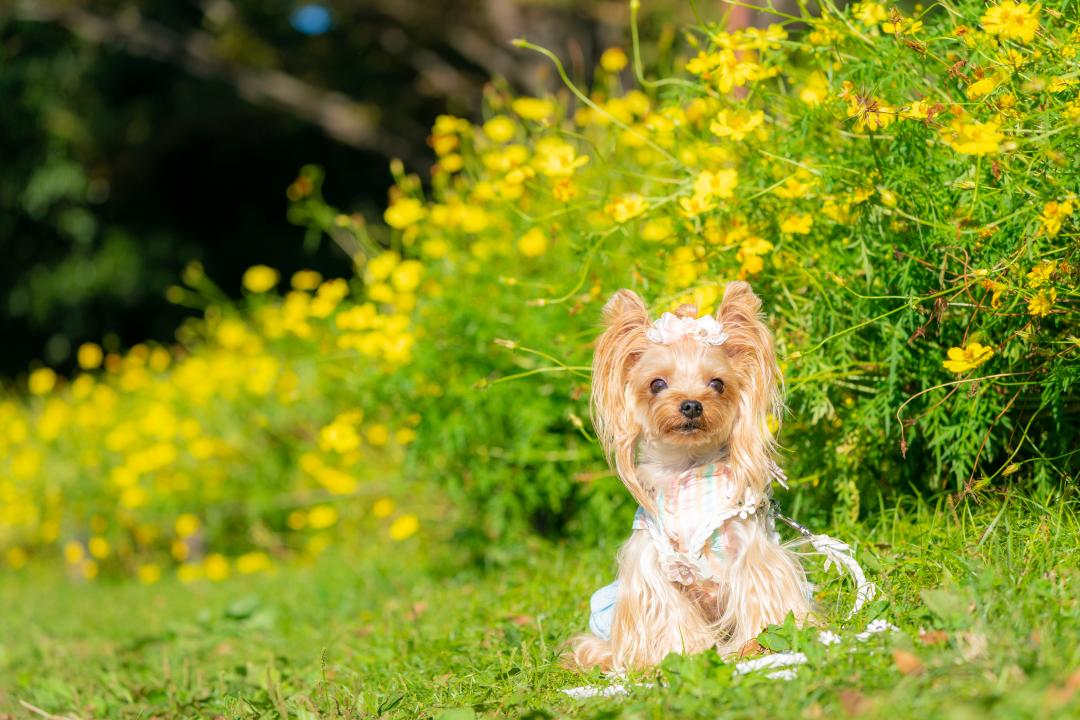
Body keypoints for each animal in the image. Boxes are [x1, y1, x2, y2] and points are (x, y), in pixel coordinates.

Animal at [565, 280, 812, 669]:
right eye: (656, 384)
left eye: (718, 384)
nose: (692, 405)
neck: (688, 470)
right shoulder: (650, 564)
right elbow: (669, 616)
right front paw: (683, 656)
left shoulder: (751, 551)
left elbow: (762, 595)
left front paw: (756, 647)